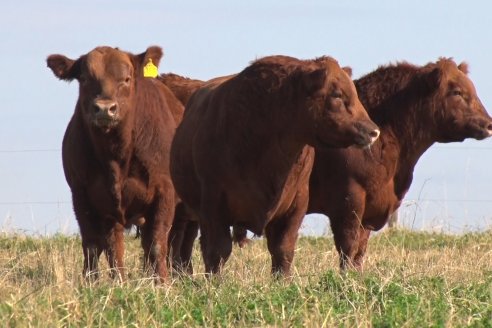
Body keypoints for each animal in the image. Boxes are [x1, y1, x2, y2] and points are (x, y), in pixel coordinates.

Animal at [44, 46, 181, 282]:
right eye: (84, 78)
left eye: (126, 79)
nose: (105, 108)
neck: (116, 158)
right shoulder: (85, 195)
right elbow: (101, 246)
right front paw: (100, 282)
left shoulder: (165, 191)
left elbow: (158, 243)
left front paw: (162, 283)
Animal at [169, 55, 380, 276]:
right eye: (337, 95)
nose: (373, 131)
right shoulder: (212, 203)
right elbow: (218, 251)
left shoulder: (296, 204)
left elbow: (283, 249)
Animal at [308, 57, 492, 270]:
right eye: (456, 92)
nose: (489, 124)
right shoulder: (349, 200)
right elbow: (349, 248)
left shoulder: (370, 208)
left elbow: (360, 251)